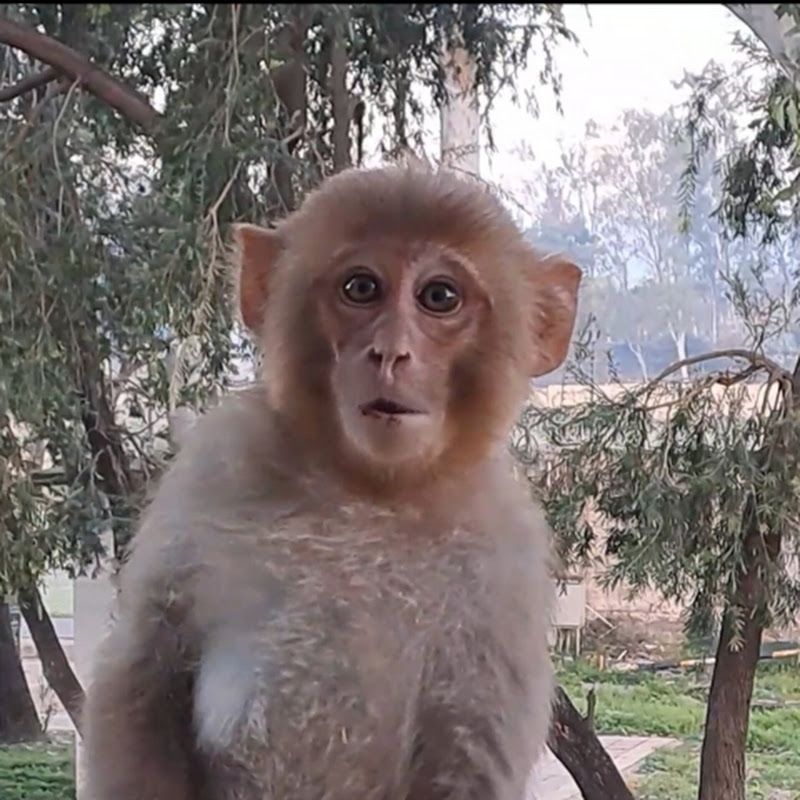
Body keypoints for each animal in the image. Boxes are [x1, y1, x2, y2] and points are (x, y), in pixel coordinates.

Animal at [81, 165, 582, 800]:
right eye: (361, 288)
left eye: (439, 297)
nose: (390, 352)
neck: (369, 489)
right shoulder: (215, 464)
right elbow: (146, 675)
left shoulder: (507, 560)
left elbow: (469, 755)